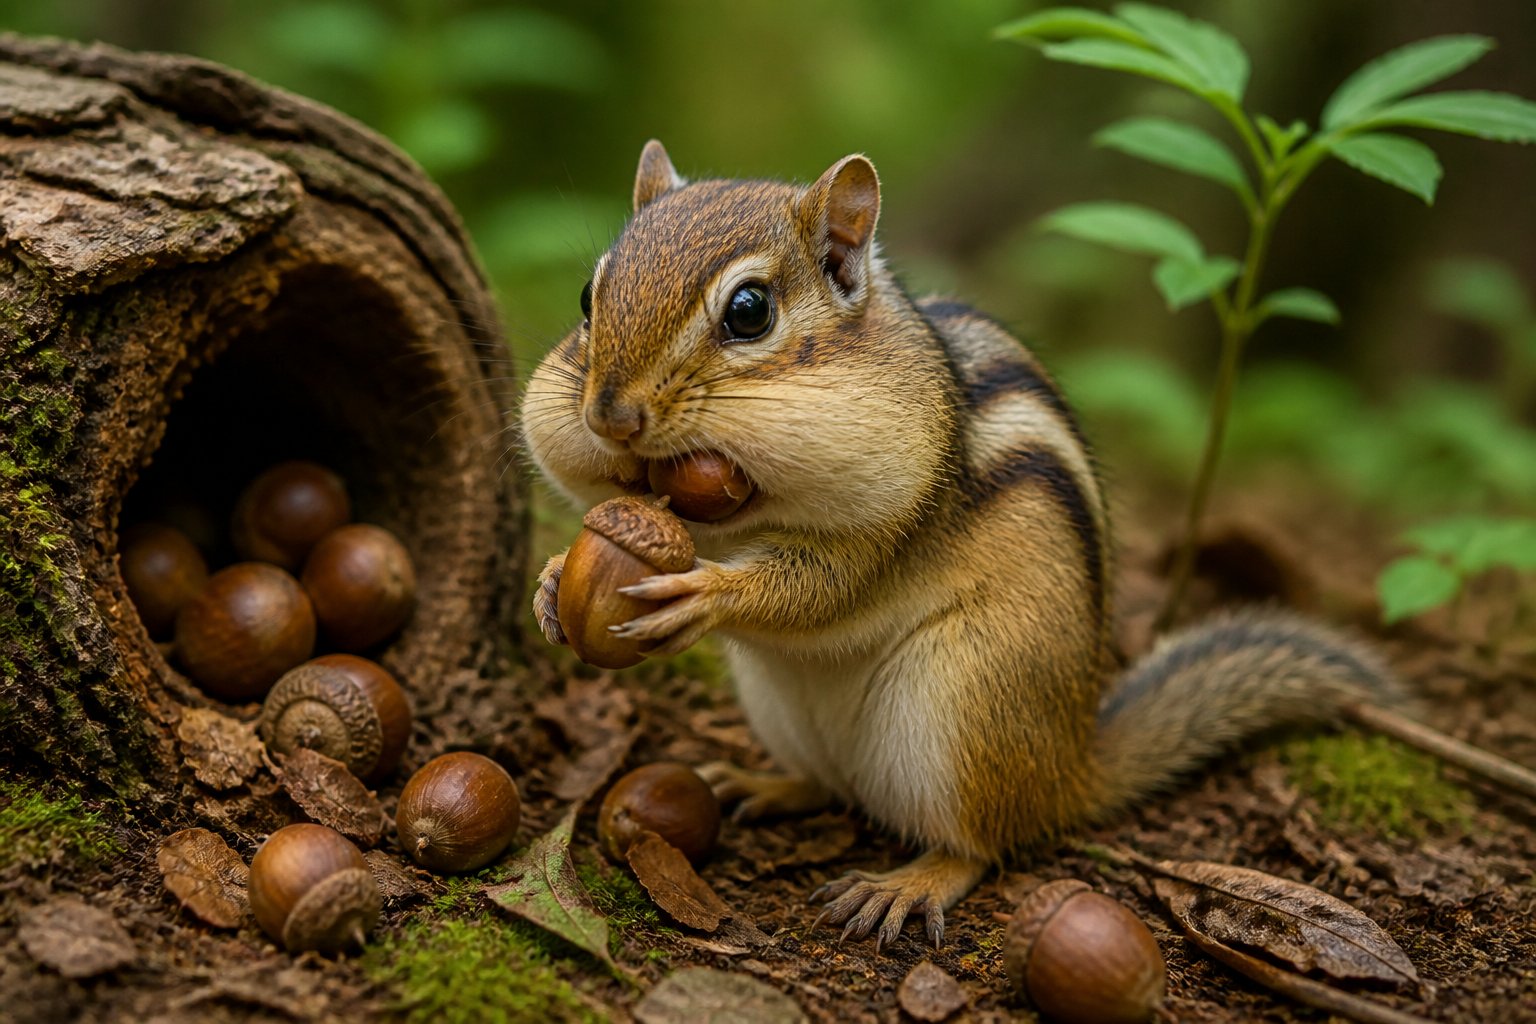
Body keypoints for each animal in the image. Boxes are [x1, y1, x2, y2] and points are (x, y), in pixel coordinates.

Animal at [521, 141, 1404, 949]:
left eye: (748, 312)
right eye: (588, 296)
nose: (609, 415)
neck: (738, 516)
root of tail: (1068, 769)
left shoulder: (895, 512)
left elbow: (821, 587)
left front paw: (706, 592)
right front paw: (553, 581)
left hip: (962, 705)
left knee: (982, 843)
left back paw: (908, 884)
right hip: (785, 709)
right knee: (832, 786)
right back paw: (764, 785)